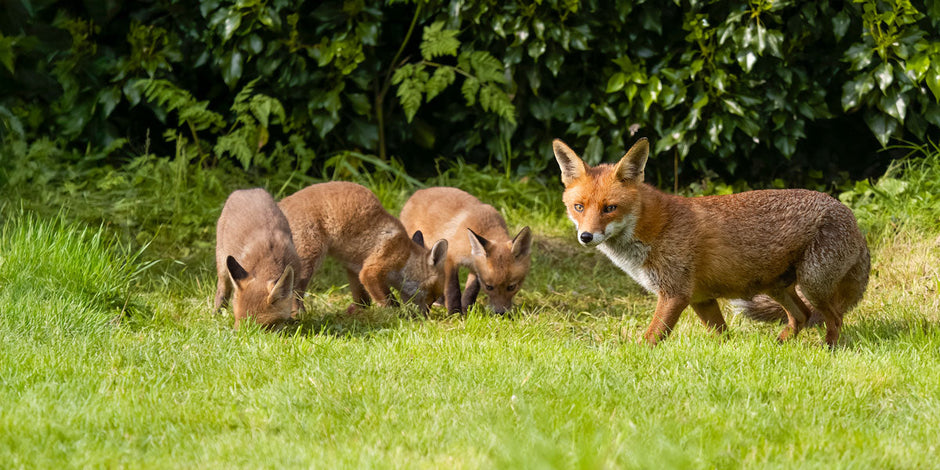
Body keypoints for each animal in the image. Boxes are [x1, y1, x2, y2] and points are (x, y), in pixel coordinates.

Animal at [214, 188, 302, 328]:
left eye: (263, 327)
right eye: (237, 321)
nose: (236, 333)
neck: (269, 260)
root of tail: (246, 190)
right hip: (223, 264)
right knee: (222, 291)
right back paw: (215, 314)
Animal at [277, 181, 448, 314]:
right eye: (433, 297)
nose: (425, 318)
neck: (406, 255)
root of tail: (281, 203)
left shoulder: (355, 268)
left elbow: (363, 300)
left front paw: (358, 312)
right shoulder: (372, 271)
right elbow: (389, 301)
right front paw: (397, 316)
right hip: (310, 258)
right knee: (295, 290)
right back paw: (299, 313)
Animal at [399, 187, 532, 314]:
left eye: (512, 287)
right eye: (489, 287)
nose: (500, 313)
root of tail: (418, 192)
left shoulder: (476, 267)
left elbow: (471, 290)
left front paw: (467, 309)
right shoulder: (450, 258)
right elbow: (453, 290)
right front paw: (455, 313)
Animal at [552, 137, 870, 347]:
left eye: (610, 208)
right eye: (579, 207)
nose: (586, 236)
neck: (653, 228)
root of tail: (852, 218)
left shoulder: (675, 294)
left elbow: (652, 337)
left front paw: (632, 357)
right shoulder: (701, 298)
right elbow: (722, 335)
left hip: (812, 283)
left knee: (834, 317)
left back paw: (827, 349)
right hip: (778, 287)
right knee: (801, 316)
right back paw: (779, 345)